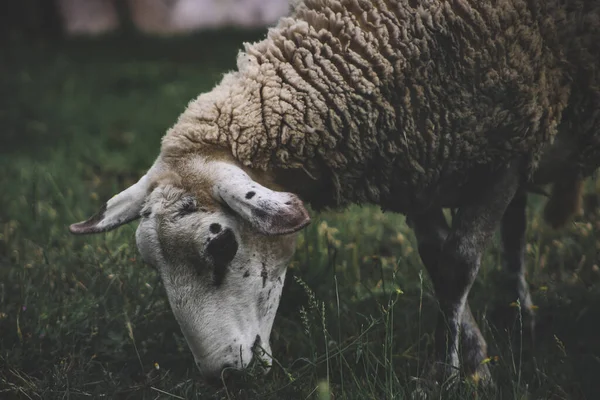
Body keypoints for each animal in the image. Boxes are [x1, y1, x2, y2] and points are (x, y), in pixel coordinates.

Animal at [69, 0, 600, 382]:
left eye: (220, 246)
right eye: (151, 265)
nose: (223, 377)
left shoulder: (505, 155)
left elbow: (456, 266)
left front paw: (452, 376)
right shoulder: (417, 178)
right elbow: (437, 262)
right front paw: (475, 360)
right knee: (516, 228)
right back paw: (522, 320)